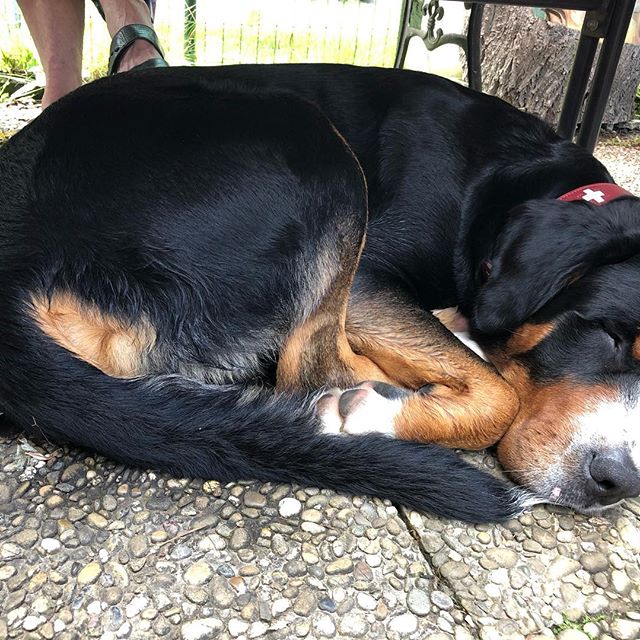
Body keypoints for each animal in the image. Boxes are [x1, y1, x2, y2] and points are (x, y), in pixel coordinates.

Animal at [0, 63, 636, 520]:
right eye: (607, 336)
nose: (619, 483)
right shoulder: (371, 279)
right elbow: (501, 399)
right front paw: (381, 411)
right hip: (316, 150)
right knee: (306, 369)